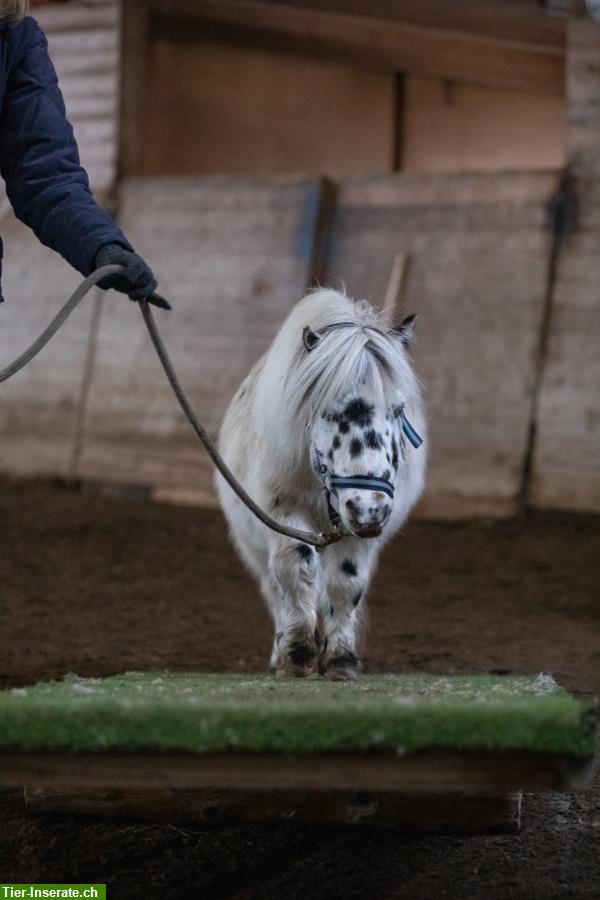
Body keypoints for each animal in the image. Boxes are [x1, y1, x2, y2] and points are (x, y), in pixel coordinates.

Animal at [217, 284, 426, 680]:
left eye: (398, 410)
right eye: (331, 411)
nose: (370, 509)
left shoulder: (355, 533)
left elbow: (347, 583)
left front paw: (340, 660)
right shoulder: (282, 511)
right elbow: (296, 567)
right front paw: (297, 653)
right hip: (252, 542)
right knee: (274, 585)